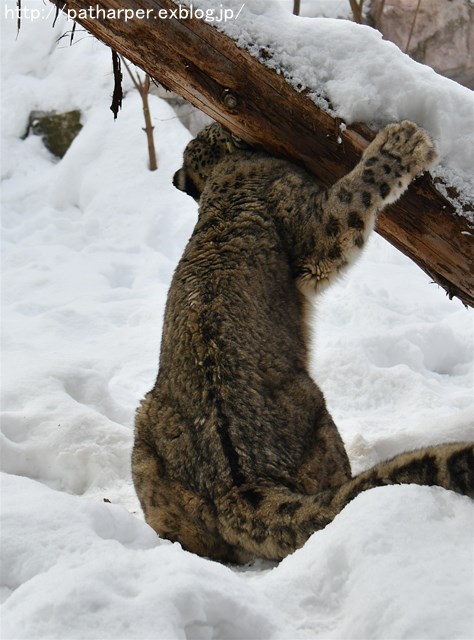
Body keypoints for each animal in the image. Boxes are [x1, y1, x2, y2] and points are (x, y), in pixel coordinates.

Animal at [131, 122, 474, 564]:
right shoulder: (314, 226)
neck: (226, 172)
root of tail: (236, 484)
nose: (214, 126)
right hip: (317, 415)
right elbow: (352, 197)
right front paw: (402, 143)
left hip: (148, 438)